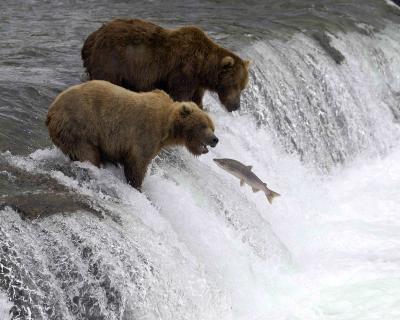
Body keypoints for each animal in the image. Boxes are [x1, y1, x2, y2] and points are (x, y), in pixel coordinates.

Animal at [46, 80, 219, 190]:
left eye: (212, 127)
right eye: (203, 125)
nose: (215, 139)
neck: (167, 126)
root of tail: (51, 110)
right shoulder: (145, 134)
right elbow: (137, 164)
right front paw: (137, 186)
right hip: (79, 126)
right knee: (87, 153)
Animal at [81, 18, 250, 112]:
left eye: (243, 87)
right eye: (234, 85)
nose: (236, 106)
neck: (203, 67)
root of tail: (91, 38)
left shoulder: (197, 81)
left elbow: (197, 97)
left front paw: (201, 107)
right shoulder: (183, 71)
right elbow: (181, 94)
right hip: (112, 60)